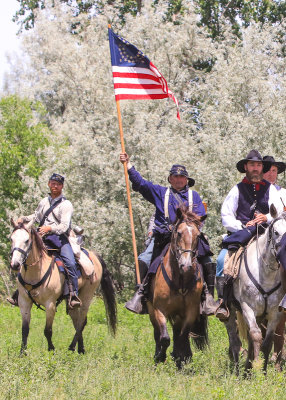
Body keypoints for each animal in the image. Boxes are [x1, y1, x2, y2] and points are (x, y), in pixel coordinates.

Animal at [10, 220, 117, 354]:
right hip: (71, 301)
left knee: (82, 322)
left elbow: (48, 330)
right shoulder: (24, 302)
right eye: (11, 239)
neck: (37, 271)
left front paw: (51, 350)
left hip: (87, 295)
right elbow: (25, 330)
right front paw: (22, 353)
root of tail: (93, 255)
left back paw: (72, 347)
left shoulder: (50, 304)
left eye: (26, 240)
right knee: (77, 320)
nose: (15, 264)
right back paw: (80, 349)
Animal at [147, 206, 208, 368]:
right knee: (157, 333)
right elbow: (164, 338)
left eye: (198, 236)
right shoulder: (159, 309)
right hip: (151, 310)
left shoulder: (190, 311)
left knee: (176, 332)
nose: (185, 265)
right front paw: (161, 356)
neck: (180, 280)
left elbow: (182, 336)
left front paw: (182, 357)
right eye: (179, 233)